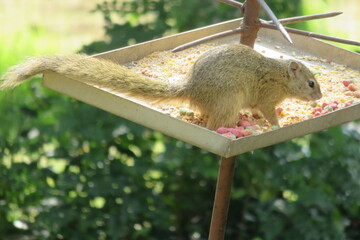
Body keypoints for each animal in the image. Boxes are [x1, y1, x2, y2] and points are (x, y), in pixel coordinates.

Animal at [0, 43, 320, 129]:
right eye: (311, 83)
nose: (319, 96)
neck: (281, 77)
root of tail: (193, 90)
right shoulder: (266, 97)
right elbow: (268, 111)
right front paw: (276, 124)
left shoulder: (259, 101)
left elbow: (257, 110)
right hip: (229, 98)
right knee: (214, 124)